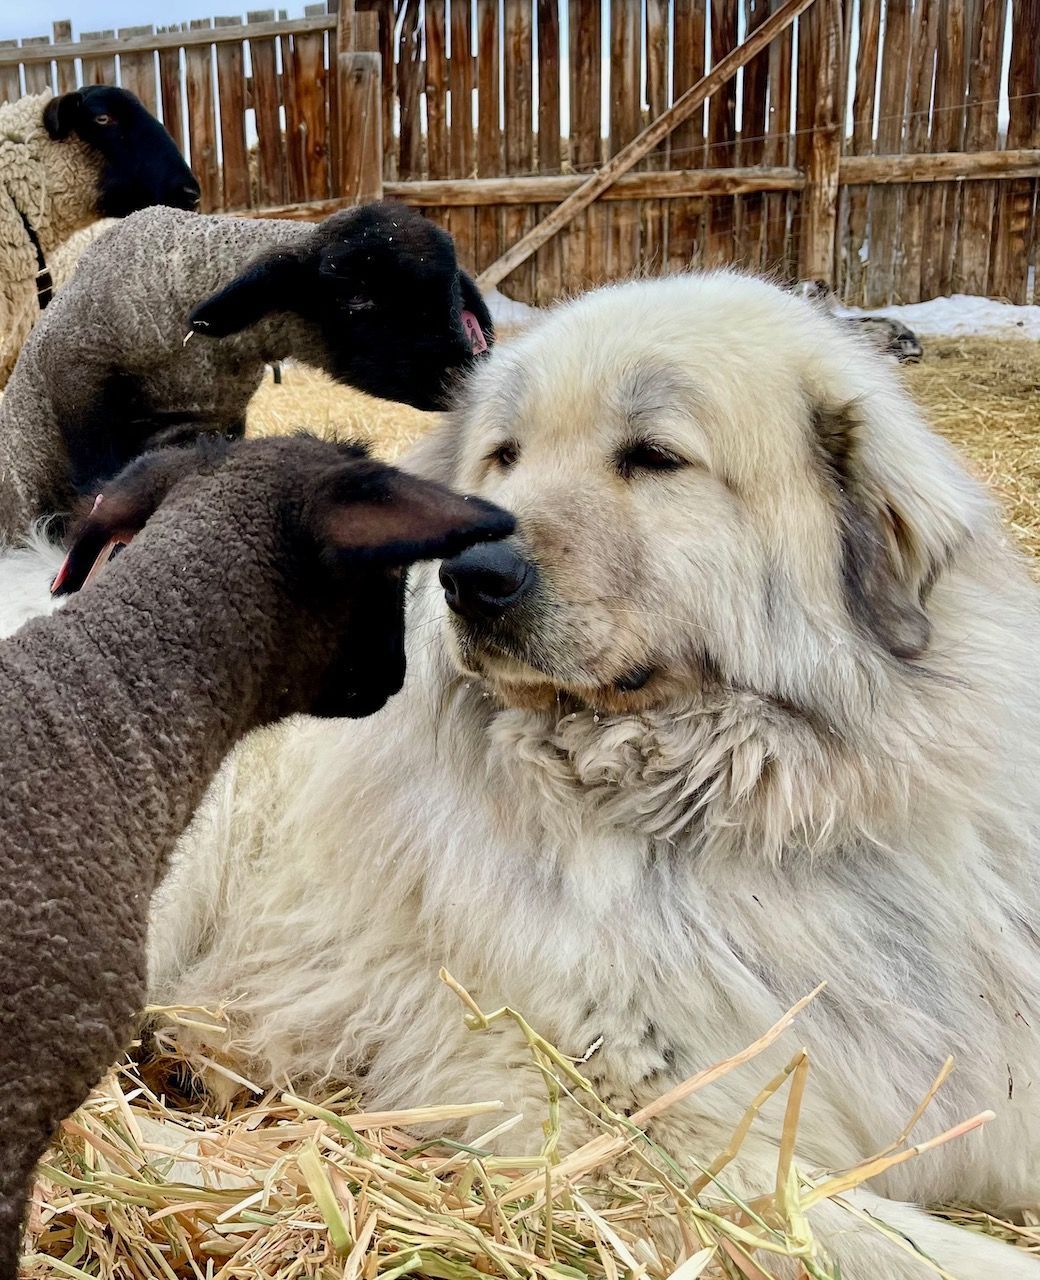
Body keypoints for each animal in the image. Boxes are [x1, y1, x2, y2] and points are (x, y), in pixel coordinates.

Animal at [0, 201, 494, 544]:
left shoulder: (217, 423)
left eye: (451, 291)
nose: (467, 369)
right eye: (357, 297)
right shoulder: (79, 378)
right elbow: (98, 483)